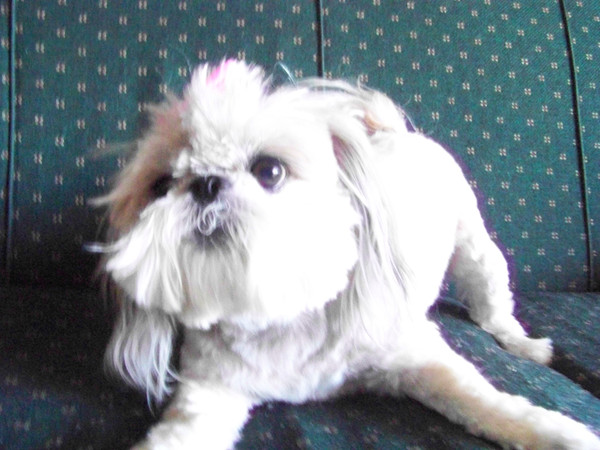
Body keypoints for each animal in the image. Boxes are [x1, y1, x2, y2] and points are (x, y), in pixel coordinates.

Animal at [99, 60, 600, 449]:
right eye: (160, 185)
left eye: (269, 170)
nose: (205, 184)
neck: (280, 316)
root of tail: (392, 131)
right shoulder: (210, 389)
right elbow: (180, 434)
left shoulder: (418, 356)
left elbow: (488, 402)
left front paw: (561, 435)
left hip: (476, 248)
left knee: (493, 305)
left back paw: (523, 343)